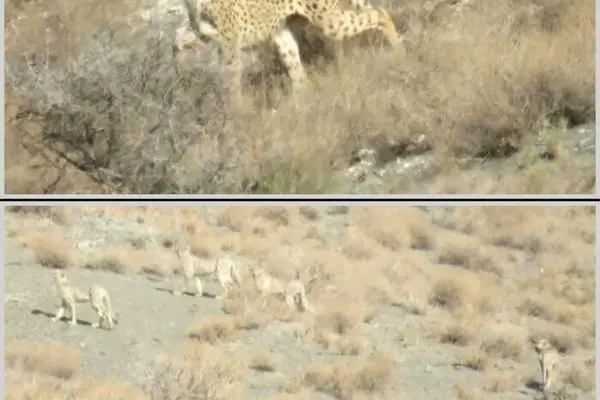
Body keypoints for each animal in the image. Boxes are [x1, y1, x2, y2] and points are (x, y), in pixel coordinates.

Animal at [175, 0, 404, 98]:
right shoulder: (203, 35)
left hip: (329, 22)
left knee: (379, 12)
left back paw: (398, 50)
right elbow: (178, 40)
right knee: (299, 75)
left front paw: (237, 117)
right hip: (283, 35)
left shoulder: (230, 48)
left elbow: (231, 87)